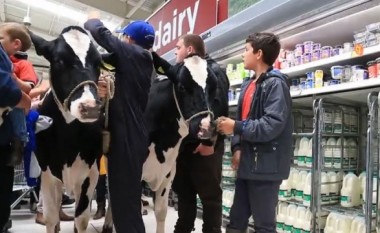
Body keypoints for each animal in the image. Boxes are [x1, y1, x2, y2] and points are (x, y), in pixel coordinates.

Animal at [29, 26, 103, 233]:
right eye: (59, 60)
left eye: (98, 63)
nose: (90, 107)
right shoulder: (47, 174)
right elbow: (51, 218)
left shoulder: (90, 173)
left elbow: (82, 219)